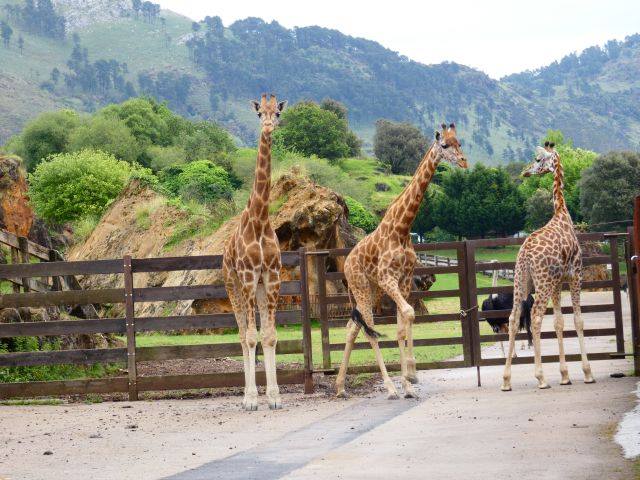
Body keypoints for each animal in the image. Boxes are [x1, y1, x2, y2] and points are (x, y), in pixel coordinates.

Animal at [336, 123, 470, 398]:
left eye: (459, 142)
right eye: (444, 145)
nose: (464, 162)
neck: (402, 227)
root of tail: (346, 264)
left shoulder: (405, 280)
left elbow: (404, 322)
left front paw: (409, 382)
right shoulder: (388, 278)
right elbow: (408, 314)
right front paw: (409, 375)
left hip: (371, 291)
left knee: (352, 328)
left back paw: (341, 387)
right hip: (362, 287)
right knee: (369, 331)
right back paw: (388, 387)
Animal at [502, 142, 596, 390]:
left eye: (537, 160)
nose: (525, 172)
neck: (562, 213)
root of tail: (525, 253)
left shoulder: (557, 283)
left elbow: (559, 323)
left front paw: (565, 375)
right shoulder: (575, 275)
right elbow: (578, 320)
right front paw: (587, 373)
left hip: (521, 281)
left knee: (513, 317)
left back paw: (506, 380)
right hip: (541, 284)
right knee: (535, 317)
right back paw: (541, 377)